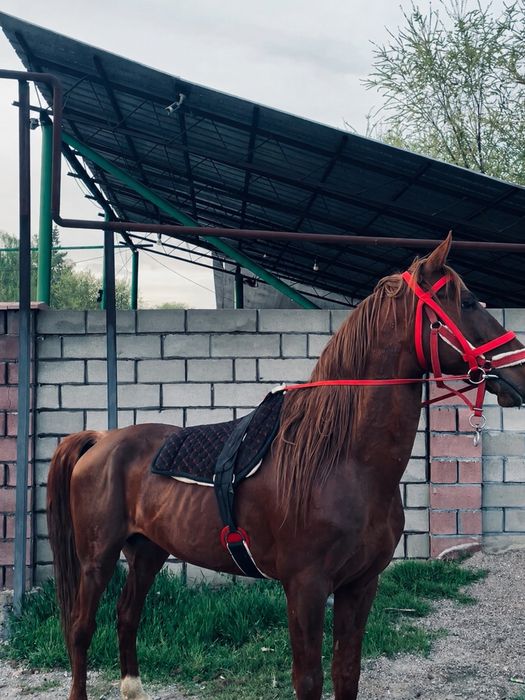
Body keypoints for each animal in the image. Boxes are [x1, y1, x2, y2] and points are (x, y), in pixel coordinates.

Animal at [46, 234, 525, 700]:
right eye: (468, 302)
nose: (520, 367)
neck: (343, 462)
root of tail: (101, 440)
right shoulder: (306, 587)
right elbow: (309, 679)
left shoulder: (360, 585)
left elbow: (346, 673)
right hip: (97, 560)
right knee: (81, 629)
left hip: (148, 550)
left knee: (127, 615)